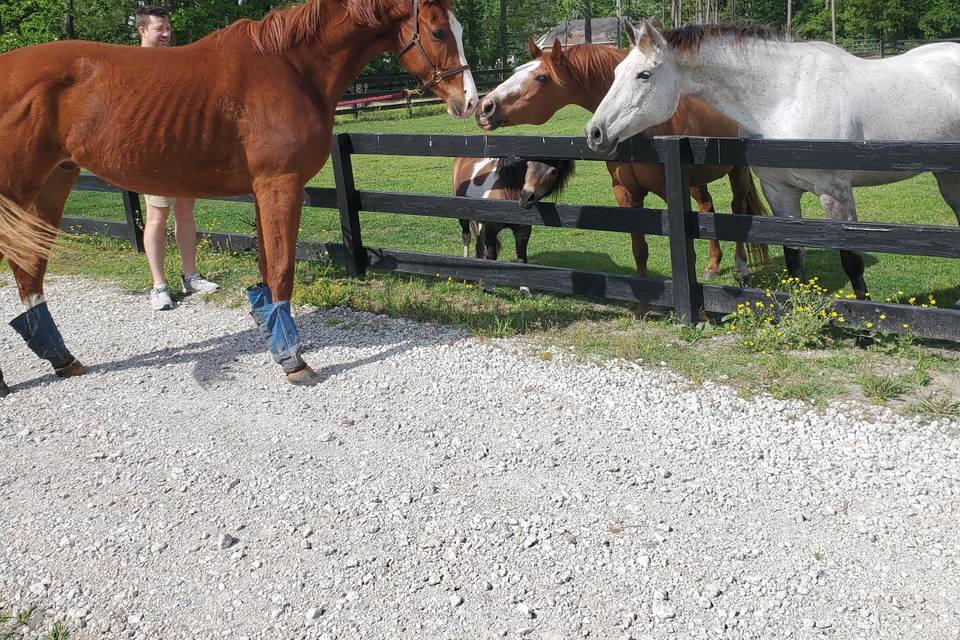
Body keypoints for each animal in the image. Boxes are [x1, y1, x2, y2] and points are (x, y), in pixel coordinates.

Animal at [0, 0, 478, 390]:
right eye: (438, 31)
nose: (470, 101)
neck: (290, 68)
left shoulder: (264, 190)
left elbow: (267, 268)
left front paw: (275, 336)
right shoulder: (279, 184)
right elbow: (282, 270)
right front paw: (292, 360)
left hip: (52, 183)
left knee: (29, 271)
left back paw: (62, 359)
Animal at [477, 37, 769, 290]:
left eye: (541, 77)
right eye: (518, 70)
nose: (485, 107)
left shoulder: (669, 190)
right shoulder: (626, 191)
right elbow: (639, 248)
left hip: (737, 171)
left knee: (737, 209)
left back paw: (741, 269)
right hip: (697, 179)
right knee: (707, 207)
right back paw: (714, 265)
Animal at [587, 20, 960, 306]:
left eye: (644, 75)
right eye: (616, 71)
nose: (595, 132)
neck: (785, 96)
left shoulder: (836, 193)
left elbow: (851, 259)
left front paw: (865, 328)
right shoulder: (780, 192)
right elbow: (793, 255)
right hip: (948, 177)